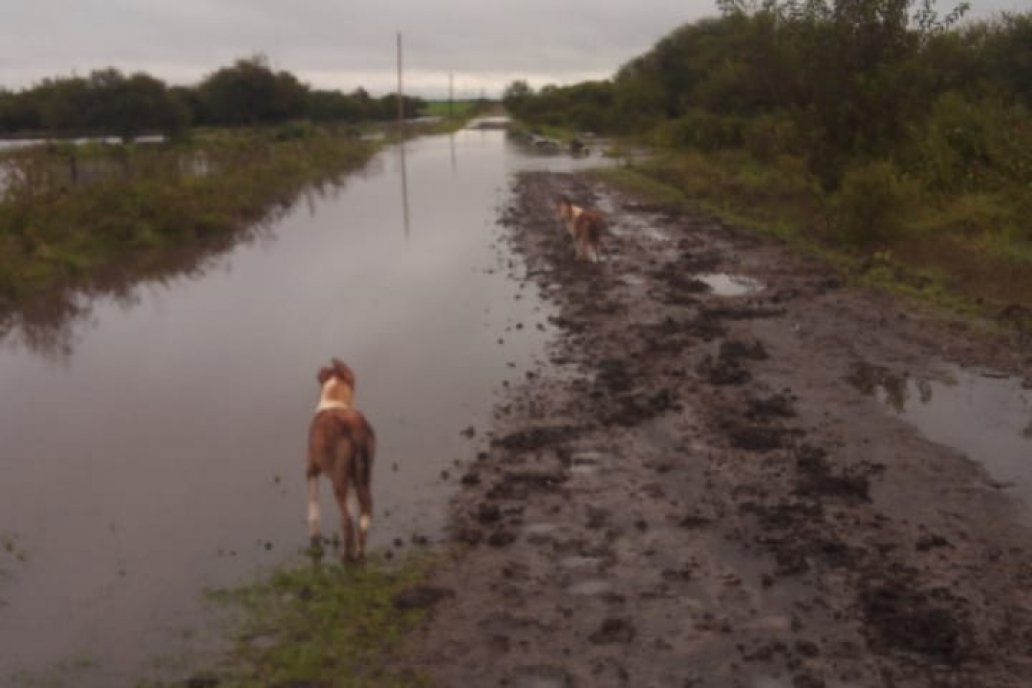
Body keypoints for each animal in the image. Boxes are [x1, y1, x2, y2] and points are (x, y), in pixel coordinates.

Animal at [307, 358, 377, 561]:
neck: (334, 399)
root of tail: (356, 431)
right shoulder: (353, 478)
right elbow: (353, 508)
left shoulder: (311, 467)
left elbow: (313, 507)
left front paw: (314, 537)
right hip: (364, 475)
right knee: (365, 512)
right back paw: (359, 552)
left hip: (338, 480)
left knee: (345, 519)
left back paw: (346, 556)